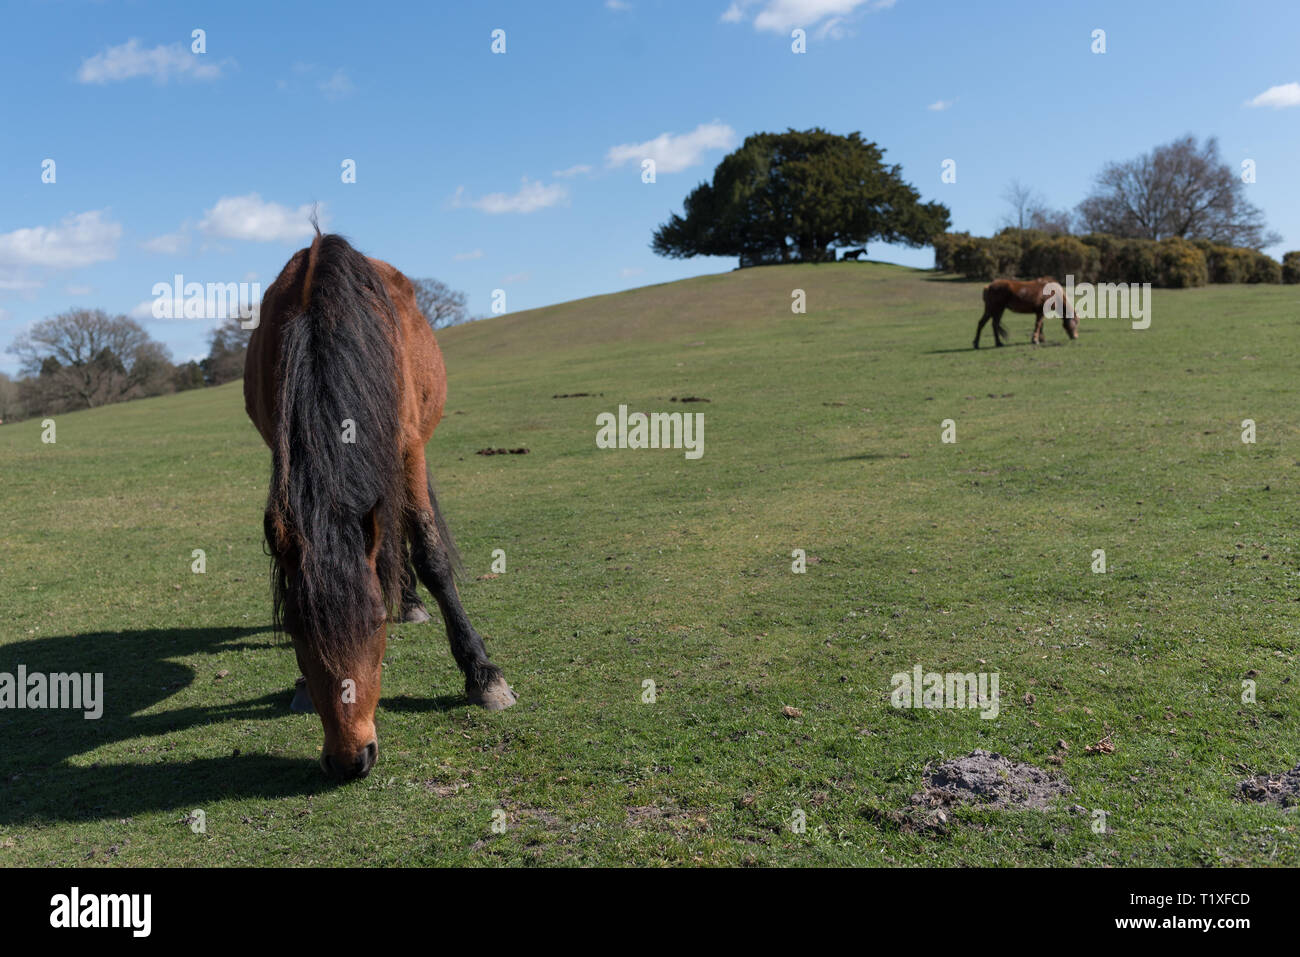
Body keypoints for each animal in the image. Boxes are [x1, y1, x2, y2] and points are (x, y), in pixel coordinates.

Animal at [244, 230, 512, 780]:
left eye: (373, 623)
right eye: (296, 631)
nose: (351, 758)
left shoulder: (408, 449)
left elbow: (431, 555)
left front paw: (481, 673)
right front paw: (302, 687)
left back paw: (411, 602)